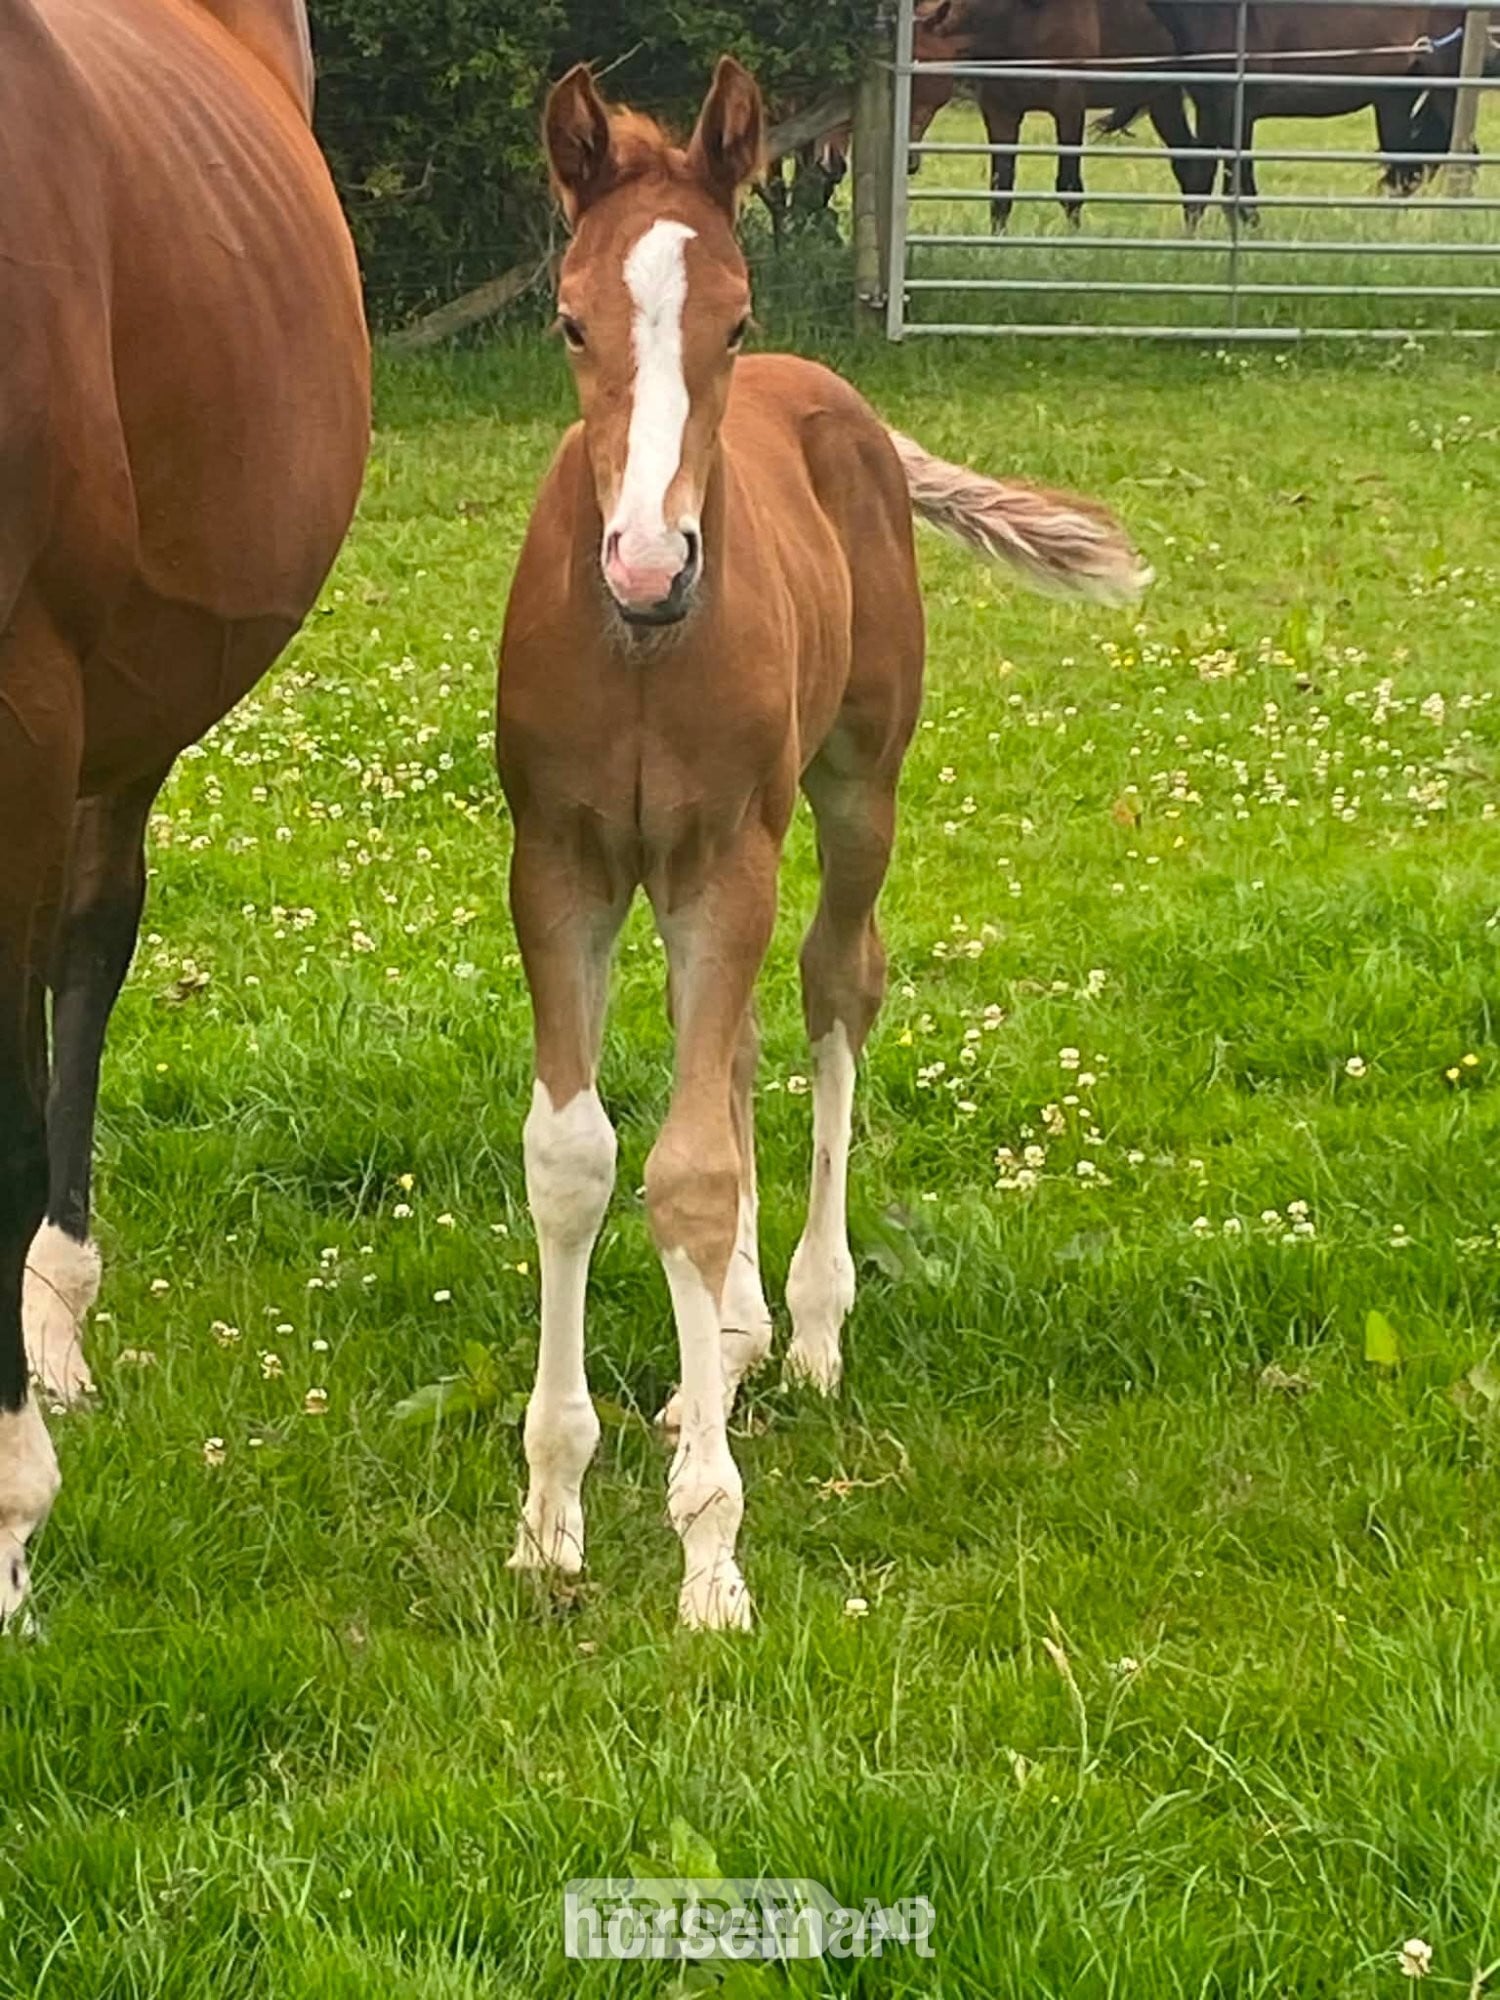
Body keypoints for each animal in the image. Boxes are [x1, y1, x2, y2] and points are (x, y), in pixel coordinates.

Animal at [497, 57, 1150, 1629]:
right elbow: (577, 1158)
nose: (650, 563)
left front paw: (708, 1553)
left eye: (733, 320)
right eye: (569, 319)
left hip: (852, 793)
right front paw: (551, 1513)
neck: (637, 654)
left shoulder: (728, 853)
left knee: (834, 987)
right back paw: (719, 1353)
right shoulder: (561, 866)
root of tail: (846, 401)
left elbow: (690, 1174)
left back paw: (801, 1328)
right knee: (727, 1051)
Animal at [910, 0, 1215, 232]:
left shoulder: (1068, 106)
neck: (1016, 17)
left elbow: (1069, 187)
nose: (910, 163)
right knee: (1188, 166)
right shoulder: (1000, 111)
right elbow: (1001, 189)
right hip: (1162, 97)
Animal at [1130, 3, 1468, 210]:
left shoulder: (1236, 109)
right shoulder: (1208, 106)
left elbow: (1240, 190)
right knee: (1403, 169)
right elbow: (1198, 178)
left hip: (1447, 89)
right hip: (1396, 96)